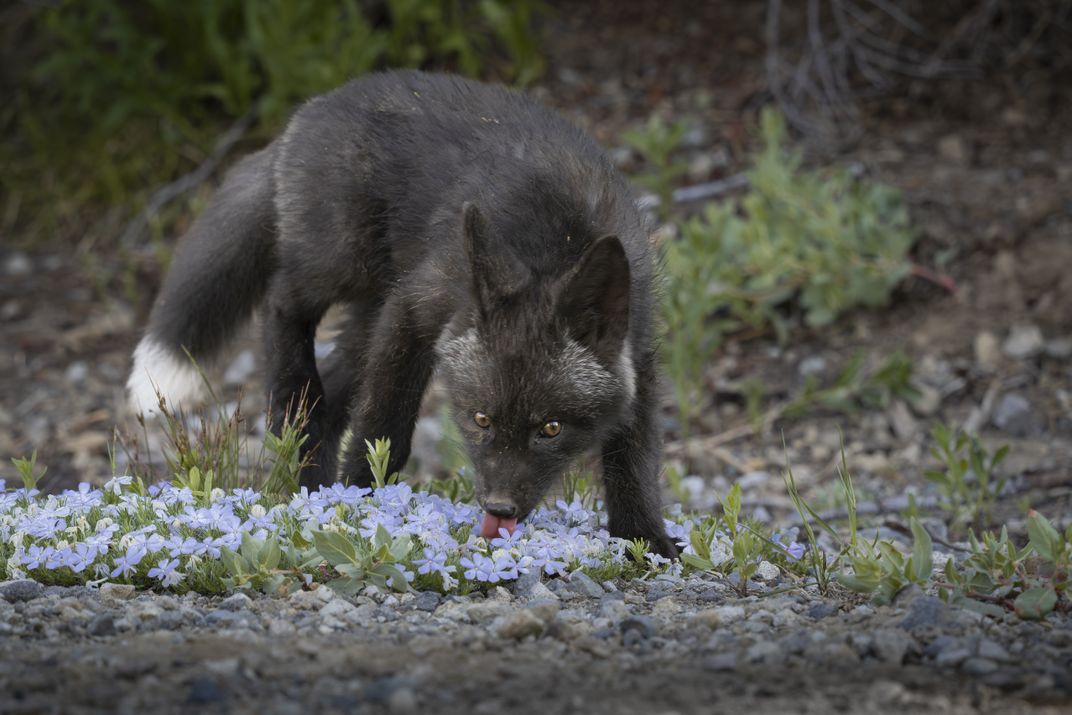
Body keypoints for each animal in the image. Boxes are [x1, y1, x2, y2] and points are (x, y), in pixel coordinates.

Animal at [127, 70, 677, 557]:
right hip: (344, 266)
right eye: (480, 419)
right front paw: (365, 503)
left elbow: (634, 460)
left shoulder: (640, 357)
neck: (554, 243)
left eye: (552, 429)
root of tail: (310, 109)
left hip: (367, 315)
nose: (498, 510)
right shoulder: (413, 308)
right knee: (282, 298)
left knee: (331, 396)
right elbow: (383, 428)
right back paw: (293, 408)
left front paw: (643, 539)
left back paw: (311, 479)